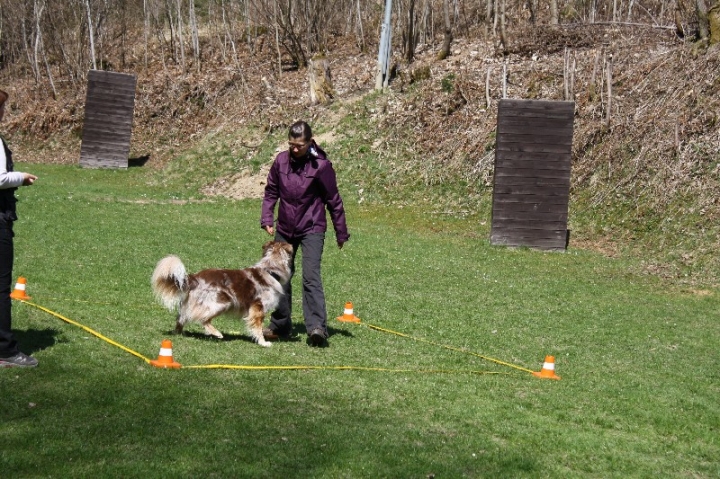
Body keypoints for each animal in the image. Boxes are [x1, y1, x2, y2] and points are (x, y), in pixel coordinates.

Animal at [150, 242, 294, 346]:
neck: (271, 271)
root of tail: (194, 278)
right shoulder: (258, 308)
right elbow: (258, 328)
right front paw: (263, 343)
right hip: (221, 302)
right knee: (202, 319)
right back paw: (217, 333)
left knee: (181, 318)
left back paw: (179, 334)